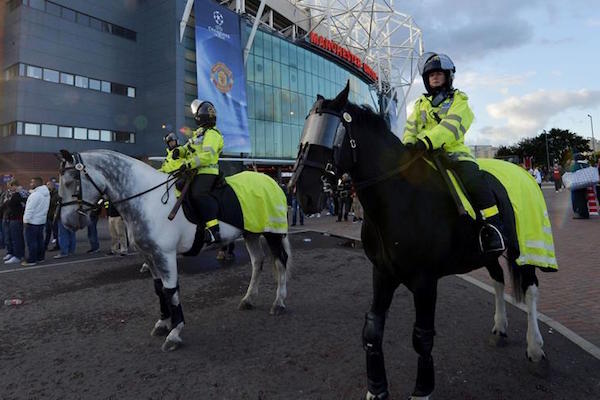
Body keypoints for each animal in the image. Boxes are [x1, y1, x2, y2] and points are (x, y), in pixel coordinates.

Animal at [290, 82, 548, 400]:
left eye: (330, 133)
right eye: (307, 129)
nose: (301, 193)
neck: (400, 198)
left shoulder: (425, 281)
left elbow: (422, 337)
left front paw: (422, 390)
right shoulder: (382, 273)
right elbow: (373, 330)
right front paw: (376, 389)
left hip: (521, 248)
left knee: (532, 289)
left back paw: (535, 347)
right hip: (487, 253)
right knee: (499, 279)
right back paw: (500, 328)